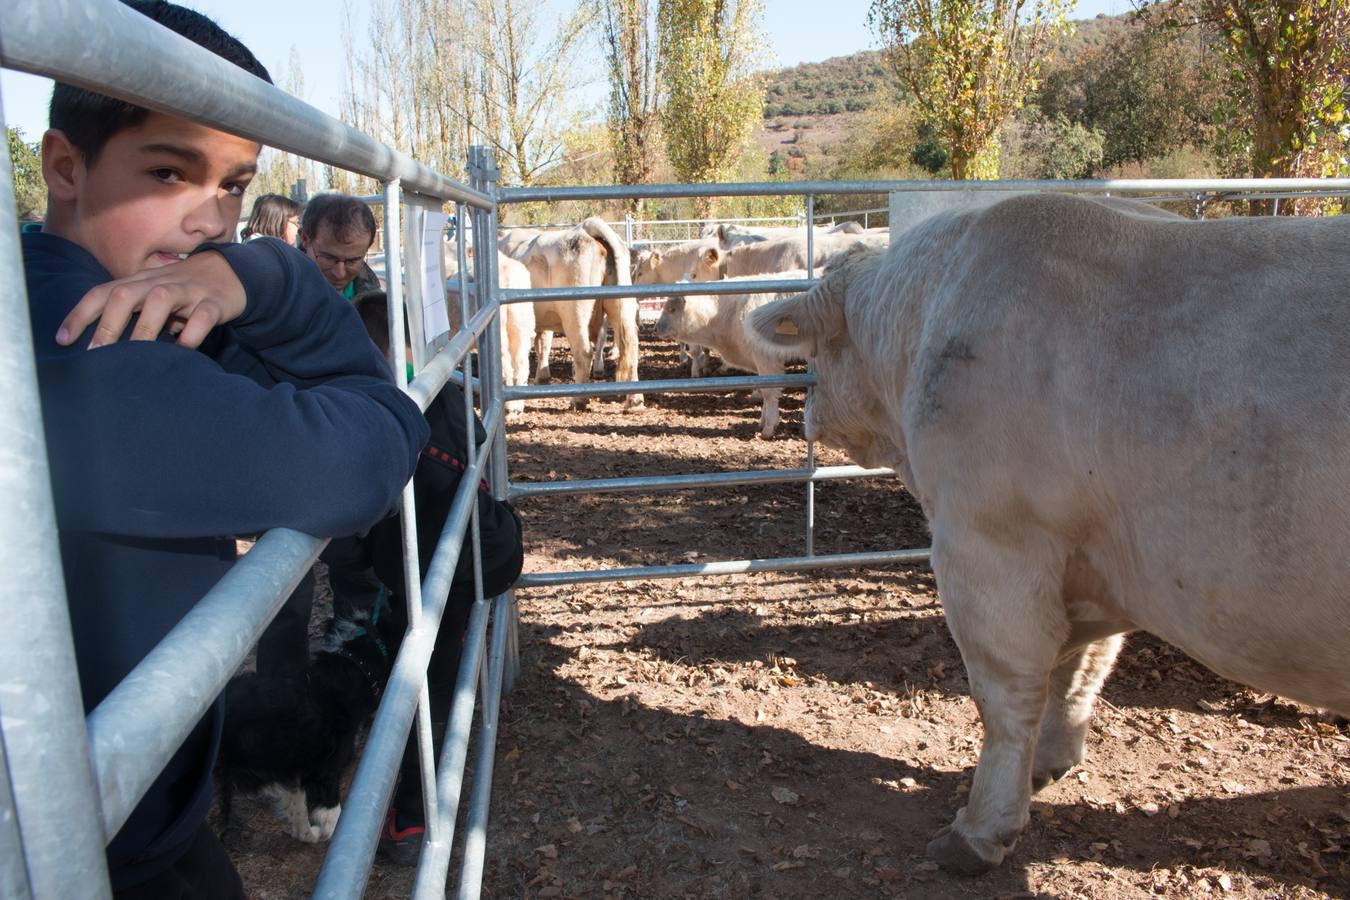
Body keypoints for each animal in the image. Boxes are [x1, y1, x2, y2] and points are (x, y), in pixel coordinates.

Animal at [218, 612, 394, 847]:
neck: (354, 666)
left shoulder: (294, 772)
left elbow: (298, 812)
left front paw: (306, 833)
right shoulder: (325, 774)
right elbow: (331, 819)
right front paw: (323, 834)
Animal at [745, 195, 1350, 874]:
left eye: (820, 354)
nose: (807, 415)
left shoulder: (989, 545)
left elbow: (1006, 694)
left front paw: (981, 828)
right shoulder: (1097, 564)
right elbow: (1081, 668)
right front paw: (1052, 761)